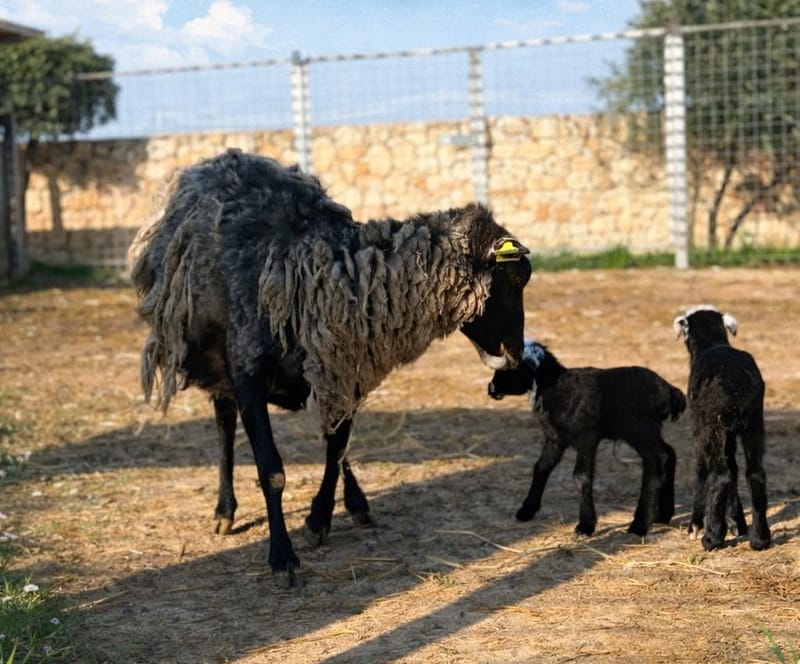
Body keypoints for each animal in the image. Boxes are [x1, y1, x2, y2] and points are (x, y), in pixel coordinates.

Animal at [129, 148, 532, 586]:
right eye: (513, 280)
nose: (516, 353)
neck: (315, 274)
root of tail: (223, 157)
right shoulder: (248, 376)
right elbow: (272, 470)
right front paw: (282, 557)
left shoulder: (344, 369)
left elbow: (337, 449)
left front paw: (318, 519)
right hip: (214, 359)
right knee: (223, 424)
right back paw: (225, 510)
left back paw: (356, 503)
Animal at [488, 340, 684, 537]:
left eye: (511, 367)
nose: (491, 389)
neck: (557, 388)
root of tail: (670, 391)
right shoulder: (555, 438)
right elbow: (541, 467)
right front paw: (526, 510)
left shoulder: (586, 436)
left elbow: (581, 475)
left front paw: (585, 525)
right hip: (647, 431)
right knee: (669, 453)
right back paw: (663, 515)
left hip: (640, 428)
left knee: (657, 458)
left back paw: (640, 525)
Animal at [674, 305, 771, 551]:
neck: (712, 343)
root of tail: (737, 382)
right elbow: (735, 468)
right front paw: (738, 522)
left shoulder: (698, 429)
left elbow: (701, 470)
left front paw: (696, 526)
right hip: (753, 421)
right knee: (754, 472)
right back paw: (760, 538)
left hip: (714, 425)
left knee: (721, 475)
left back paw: (712, 537)